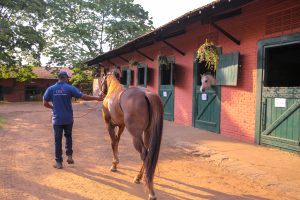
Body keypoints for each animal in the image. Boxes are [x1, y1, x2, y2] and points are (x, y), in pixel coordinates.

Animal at [98, 68, 164, 199]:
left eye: (102, 80)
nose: (100, 94)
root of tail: (147, 95)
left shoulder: (109, 125)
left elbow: (113, 142)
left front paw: (114, 165)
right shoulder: (121, 126)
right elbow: (117, 141)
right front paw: (116, 164)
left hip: (136, 136)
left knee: (144, 153)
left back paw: (150, 190)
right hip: (147, 132)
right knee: (148, 153)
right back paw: (139, 178)